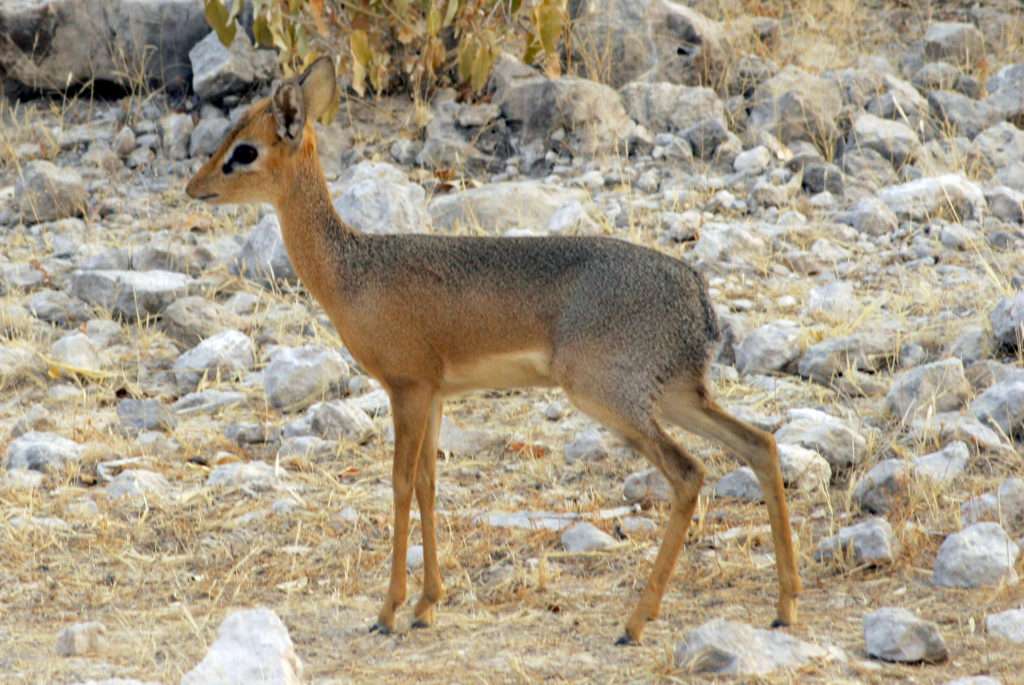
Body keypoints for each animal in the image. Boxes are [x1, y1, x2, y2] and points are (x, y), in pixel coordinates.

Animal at [188, 56, 802, 643]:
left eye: (244, 150)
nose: (195, 188)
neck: (353, 272)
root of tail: (697, 295)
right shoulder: (435, 395)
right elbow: (430, 485)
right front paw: (427, 605)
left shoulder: (408, 389)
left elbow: (400, 485)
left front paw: (388, 611)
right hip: (676, 396)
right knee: (760, 445)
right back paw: (784, 606)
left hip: (613, 400)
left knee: (690, 472)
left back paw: (634, 623)